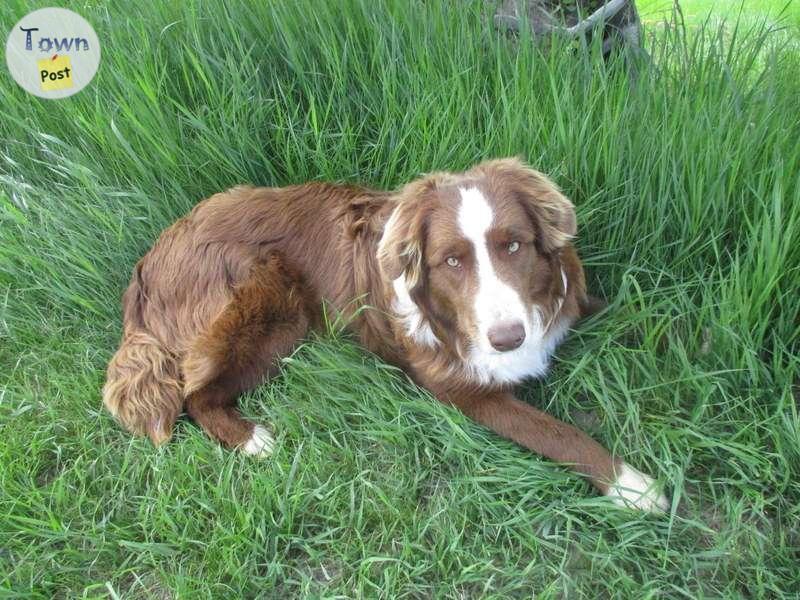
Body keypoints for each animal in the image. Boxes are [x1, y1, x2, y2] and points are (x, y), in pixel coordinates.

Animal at [104, 158, 668, 510]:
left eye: (513, 246)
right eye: (451, 261)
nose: (507, 339)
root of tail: (147, 262)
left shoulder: (576, 306)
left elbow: (650, 321)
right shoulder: (466, 393)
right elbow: (556, 432)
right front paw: (633, 487)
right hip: (260, 305)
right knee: (194, 395)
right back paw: (253, 440)